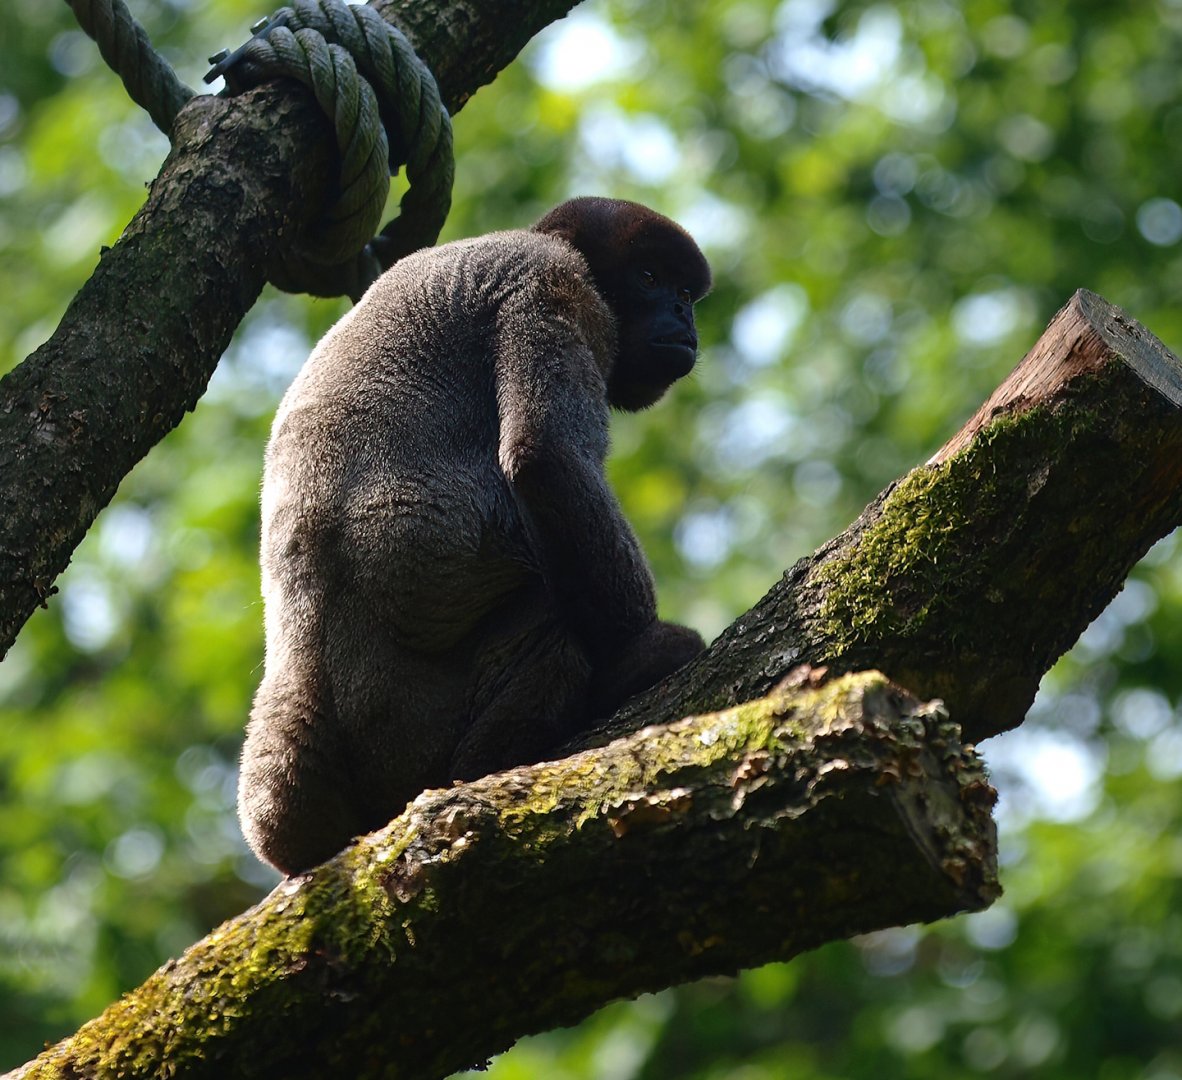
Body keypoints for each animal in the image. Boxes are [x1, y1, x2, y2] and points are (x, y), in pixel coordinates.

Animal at [239, 197, 712, 874]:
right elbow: (545, 455)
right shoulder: (552, 287)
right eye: (651, 279)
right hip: (414, 721)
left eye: (685, 293)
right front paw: (643, 647)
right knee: (555, 627)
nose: (682, 316)